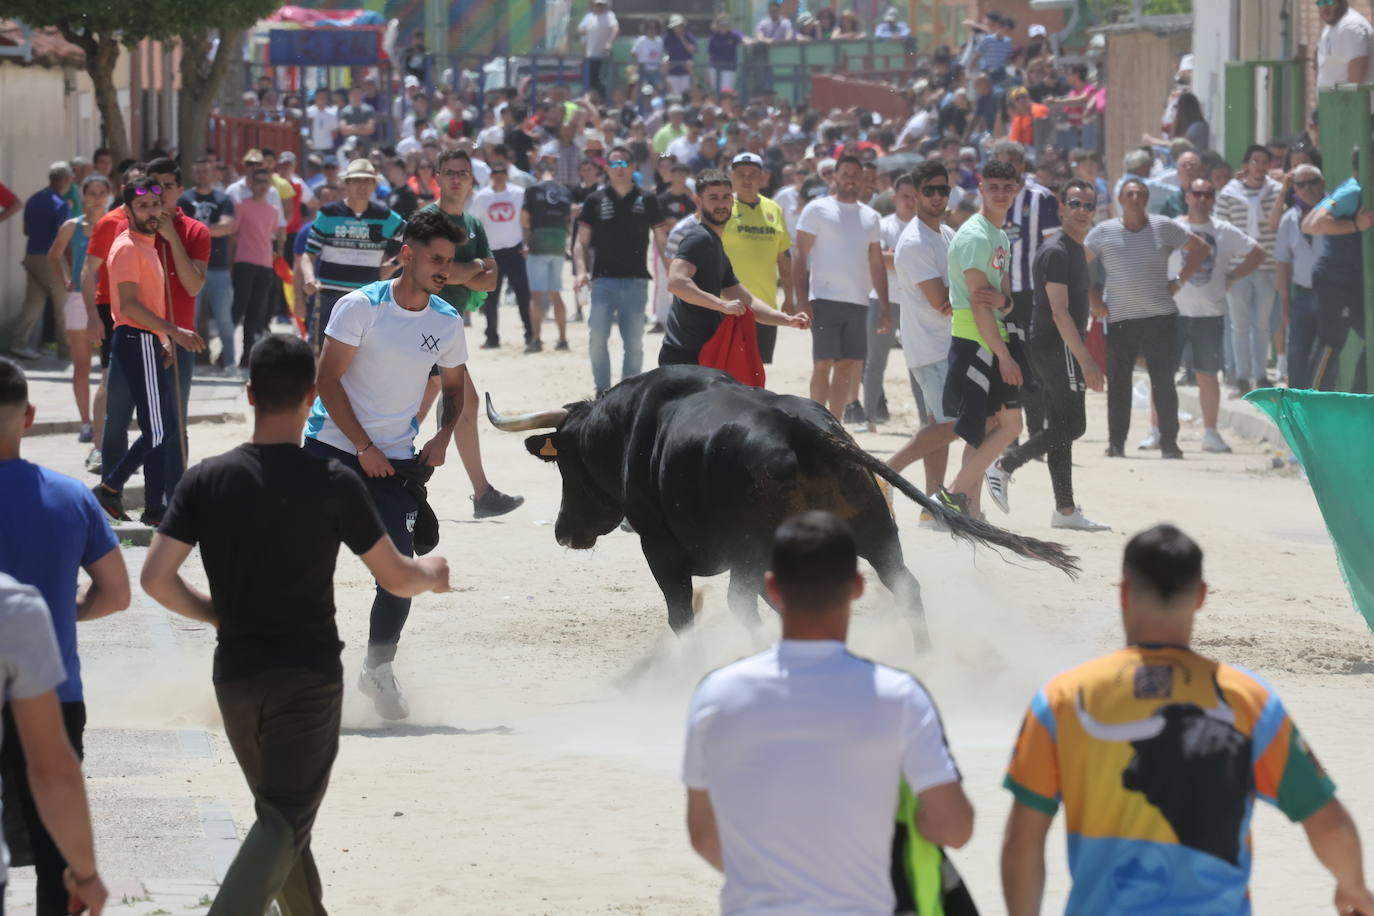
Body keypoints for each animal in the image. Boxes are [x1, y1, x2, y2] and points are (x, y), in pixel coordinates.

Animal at [489, 365, 1077, 637]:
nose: (564, 531)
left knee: (742, 607)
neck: (631, 426)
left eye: (564, 464)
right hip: (874, 532)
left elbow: (682, 615)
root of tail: (804, 431)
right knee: (906, 588)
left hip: (757, 551)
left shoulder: (662, 550)